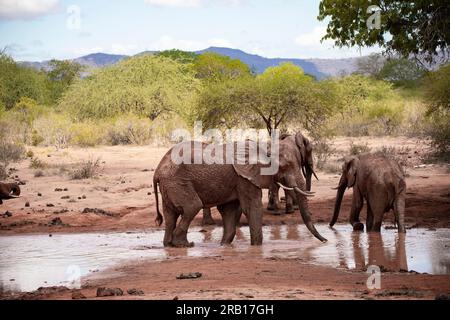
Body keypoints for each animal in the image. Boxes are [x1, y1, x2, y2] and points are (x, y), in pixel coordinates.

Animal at [155, 140, 326, 248]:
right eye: (285, 166)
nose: (325, 241)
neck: (264, 147)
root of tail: (157, 170)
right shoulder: (245, 178)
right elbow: (252, 208)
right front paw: (256, 247)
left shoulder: (237, 180)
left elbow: (230, 211)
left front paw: (224, 245)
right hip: (178, 182)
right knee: (192, 207)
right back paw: (184, 245)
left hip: (170, 185)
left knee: (170, 215)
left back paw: (169, 245)